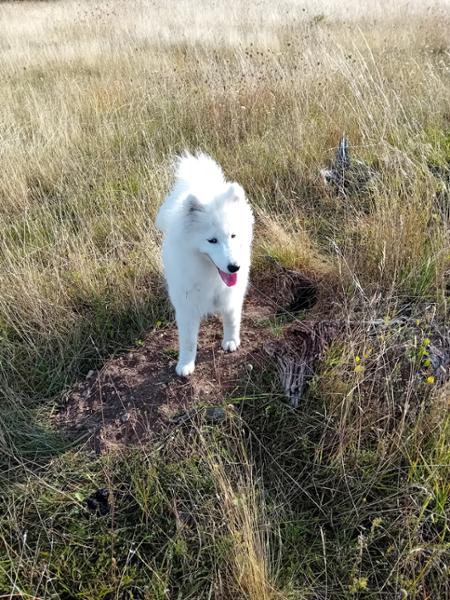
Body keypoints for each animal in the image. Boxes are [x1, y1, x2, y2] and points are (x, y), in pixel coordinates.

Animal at [156, 152, 253, 376]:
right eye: (212, 240)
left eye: (233, 235)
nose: (234, 267)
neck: (212, 275)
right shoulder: (186, 307)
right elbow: (189, 341)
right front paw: (186, 364)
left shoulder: (233, 295)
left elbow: (232, 319)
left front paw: (231, 341)